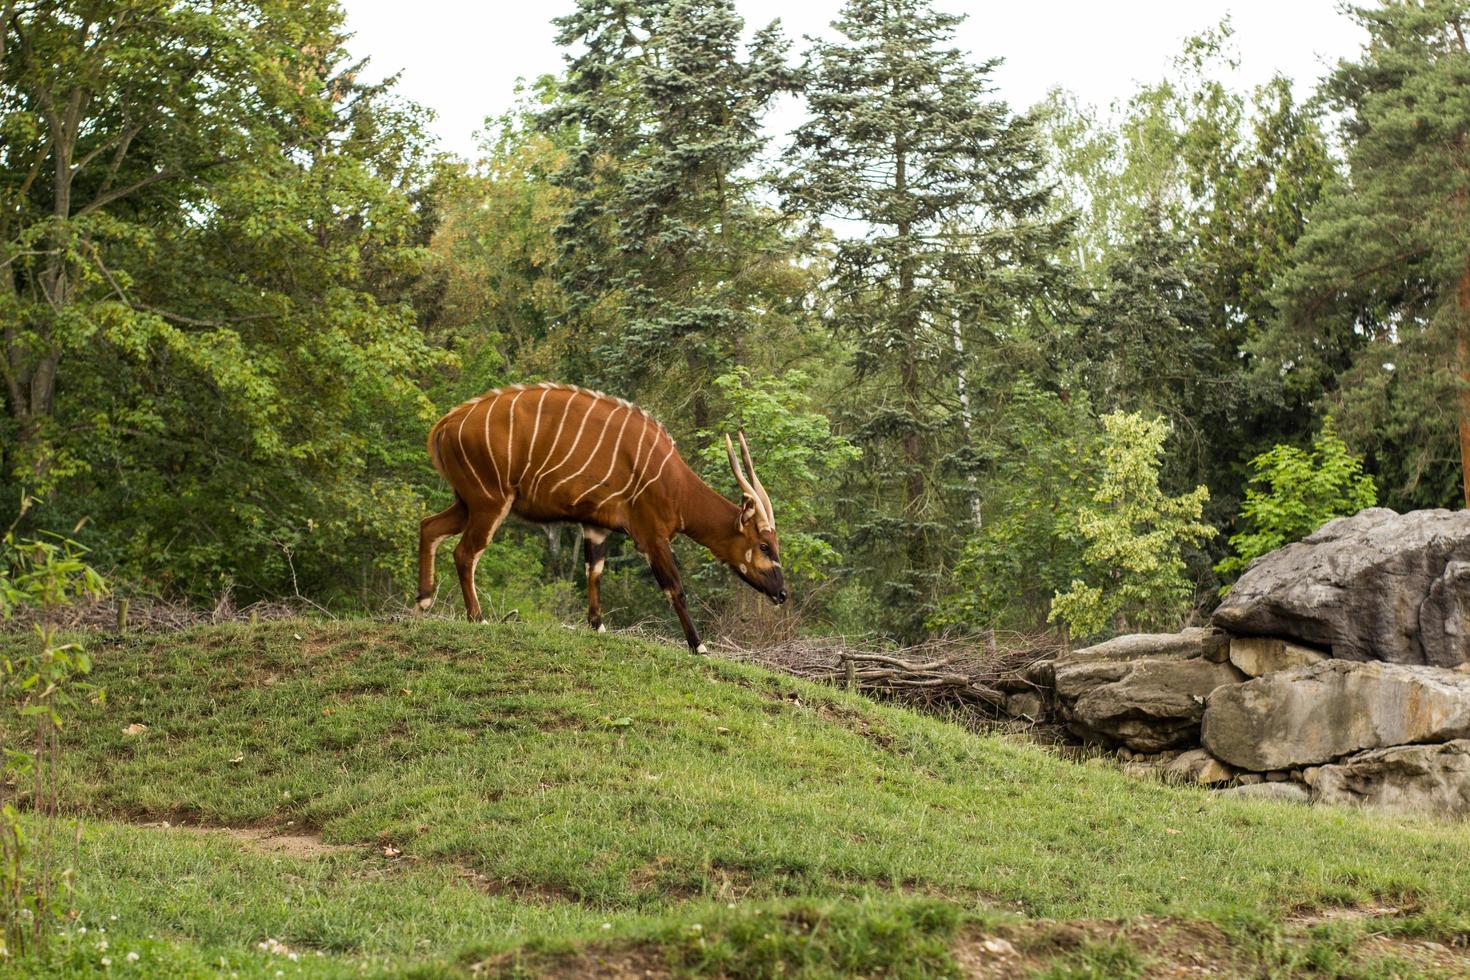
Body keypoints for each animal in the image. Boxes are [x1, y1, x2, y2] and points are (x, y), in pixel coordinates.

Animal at [420, 382, 787, 652]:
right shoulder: (651, 537)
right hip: (490, 502)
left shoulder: (596, 527)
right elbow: (675, 588)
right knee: (465, 552)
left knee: (429, 526)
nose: (782, 593)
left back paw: (423, 601)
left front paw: (597, 626)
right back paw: (477, 617)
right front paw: (699, 646)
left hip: (468, 502)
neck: (674, 483)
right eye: (764, 546)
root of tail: (446, 424)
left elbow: (593, 571)